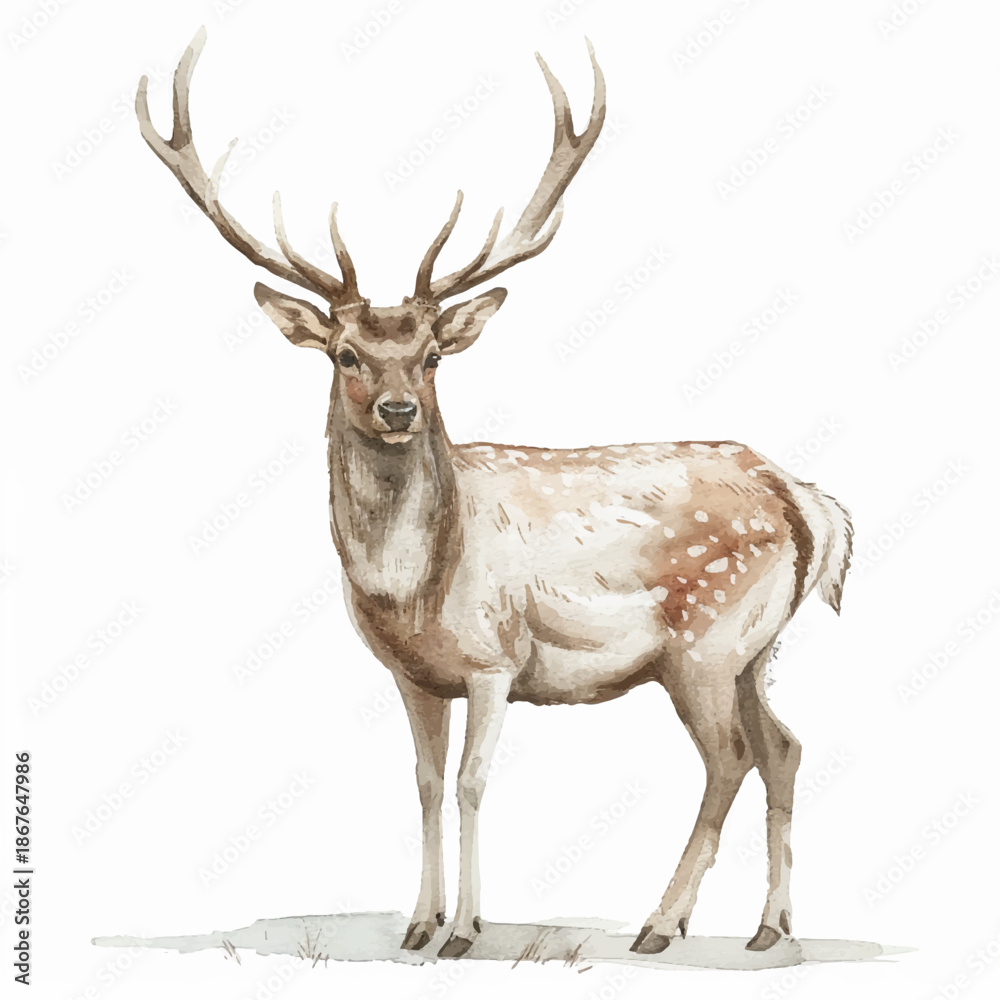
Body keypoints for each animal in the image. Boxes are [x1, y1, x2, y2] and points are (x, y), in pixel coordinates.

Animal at [136, 28, 853, 960]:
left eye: (434, 355)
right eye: (346, 353)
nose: (399, 409)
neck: (411, 589)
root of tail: (805, 499)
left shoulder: (493, 659)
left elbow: (474, 781)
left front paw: (466, 930)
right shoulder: (412, 676)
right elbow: (424, 781)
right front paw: (417, 923)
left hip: (706, 640)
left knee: (730, 757)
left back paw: (661, 924)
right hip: (757, 650)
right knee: (786, 746)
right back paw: (769, 928)